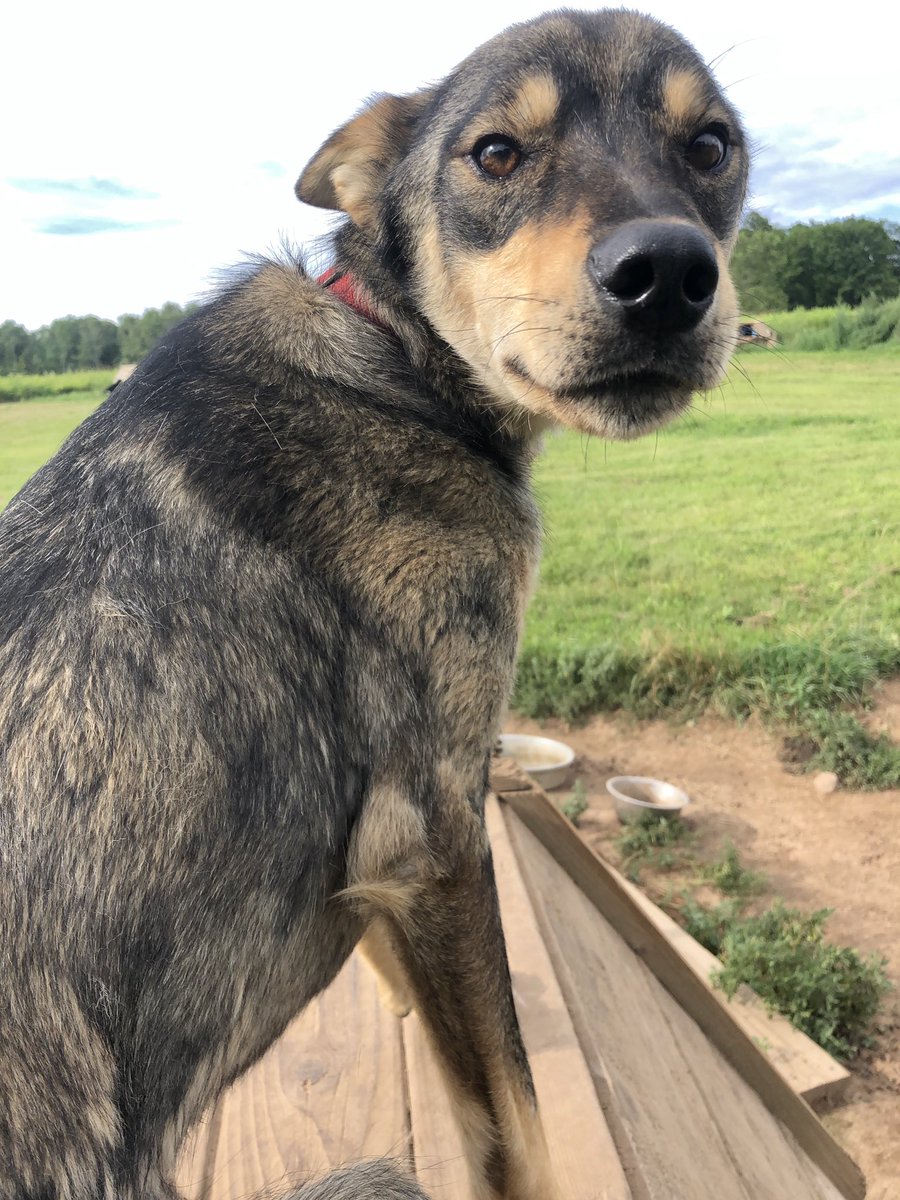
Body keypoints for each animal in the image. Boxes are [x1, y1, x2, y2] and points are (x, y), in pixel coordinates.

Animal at [0, 9, 748, 1200]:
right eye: (496, 154)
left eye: (712, 146)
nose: (670, 273)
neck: (395, 363)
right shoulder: (432, 830)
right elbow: (517, 1123)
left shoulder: (394, 860)